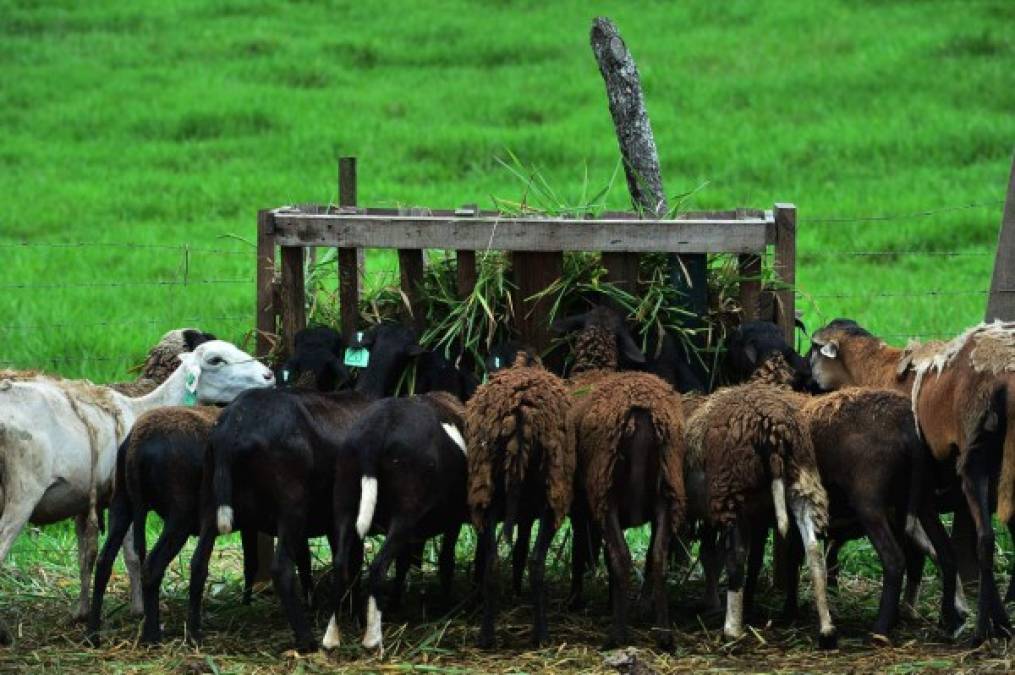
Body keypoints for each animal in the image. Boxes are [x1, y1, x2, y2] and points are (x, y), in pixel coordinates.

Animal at [464, 349, 576, 645]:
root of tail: (519, 412)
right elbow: (524, 551)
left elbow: (517, 549)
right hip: (553, 491)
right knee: (537, 563)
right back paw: (542, 635)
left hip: (485, 491)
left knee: (492, 562)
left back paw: (486, 637)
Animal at [552, 308, 686, 649]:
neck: (595, 368)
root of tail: (642, 413)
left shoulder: (581, 506)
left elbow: (581, 550)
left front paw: (576, 599)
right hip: (668, 490)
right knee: (656, 557)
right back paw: (664, 634)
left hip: (605, 489)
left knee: (621, 557)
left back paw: (617, 634)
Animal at [807, 318, 1015, 641]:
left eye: (813, 350)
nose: (803, 382)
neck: (876, 370)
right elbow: (940, 553)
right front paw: (960, 616)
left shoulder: (912, 499)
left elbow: (930, 553)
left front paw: (945, 615)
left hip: (974, 466)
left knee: (985, 540)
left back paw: (981, 632)